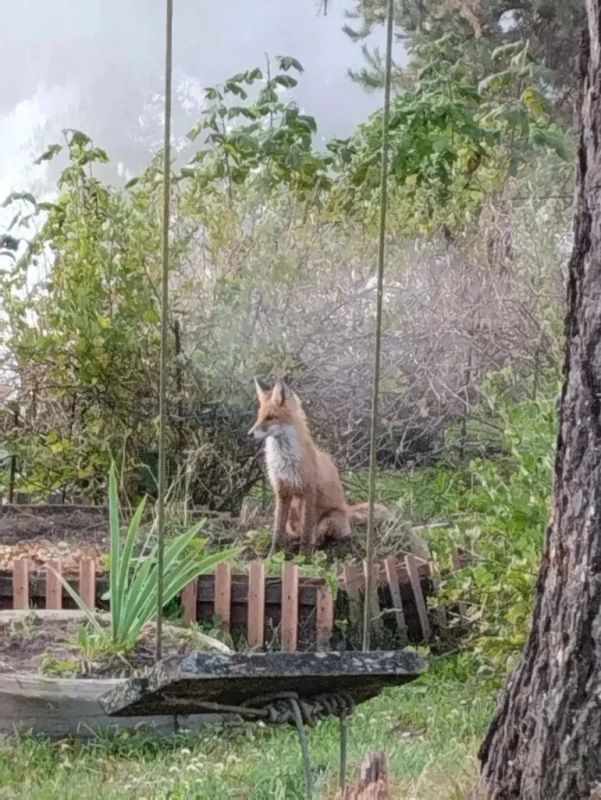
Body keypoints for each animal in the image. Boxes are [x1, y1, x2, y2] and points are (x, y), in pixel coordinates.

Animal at [249, 378, 387, 557]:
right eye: (259, 417)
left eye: (270, 417)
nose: (249, 433)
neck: (285, 460)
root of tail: (347, 509)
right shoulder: (282, 491)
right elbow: (278, 531)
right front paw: (272, 555)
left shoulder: (309, 491)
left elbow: (307, 531)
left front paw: (304, 556)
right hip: (291, 514)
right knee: (297, 532)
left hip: (330, 520)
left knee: (324, 536)